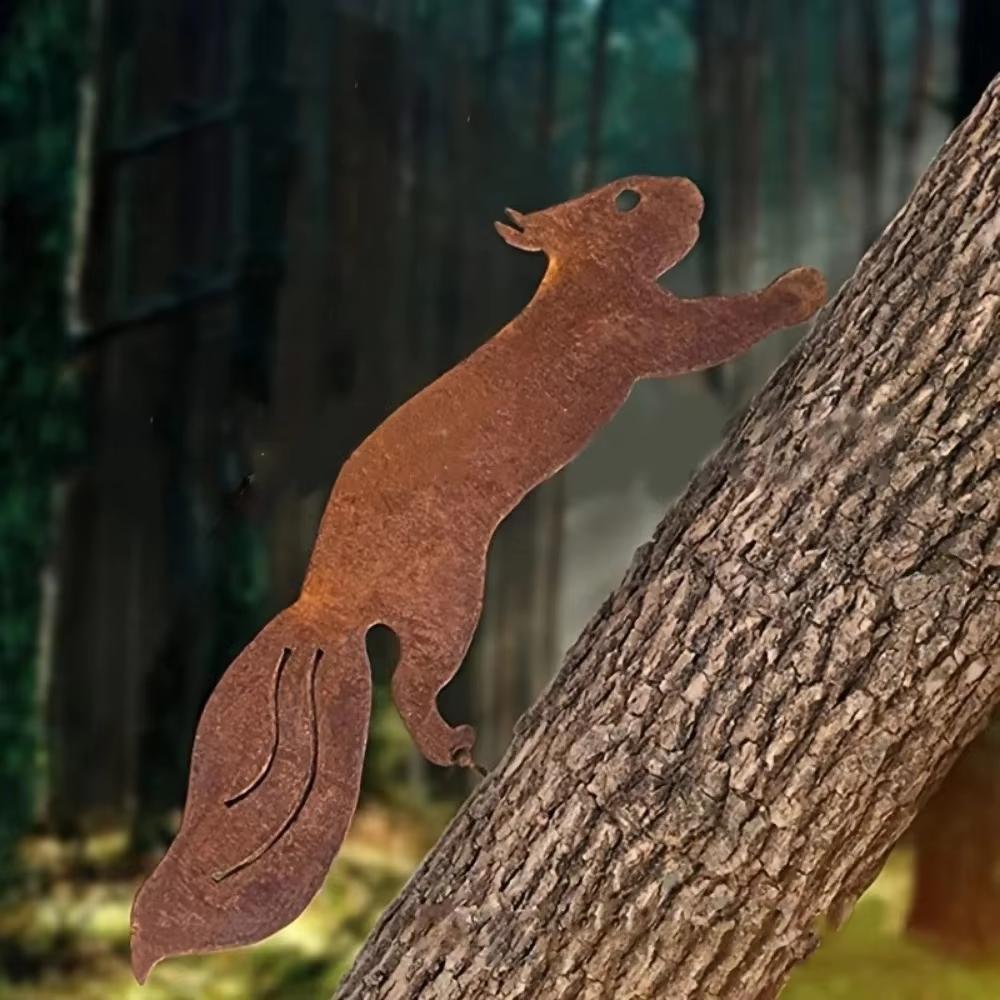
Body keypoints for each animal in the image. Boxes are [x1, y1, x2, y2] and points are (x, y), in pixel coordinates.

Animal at [130, 175, 827, 980]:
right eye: (626, 198)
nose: (690, 191)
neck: (574, 282)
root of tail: (324, 604)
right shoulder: (636, 324)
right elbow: (712, 330)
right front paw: (800, 290)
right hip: (449, 601)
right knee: (409, 684)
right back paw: (455, 744)